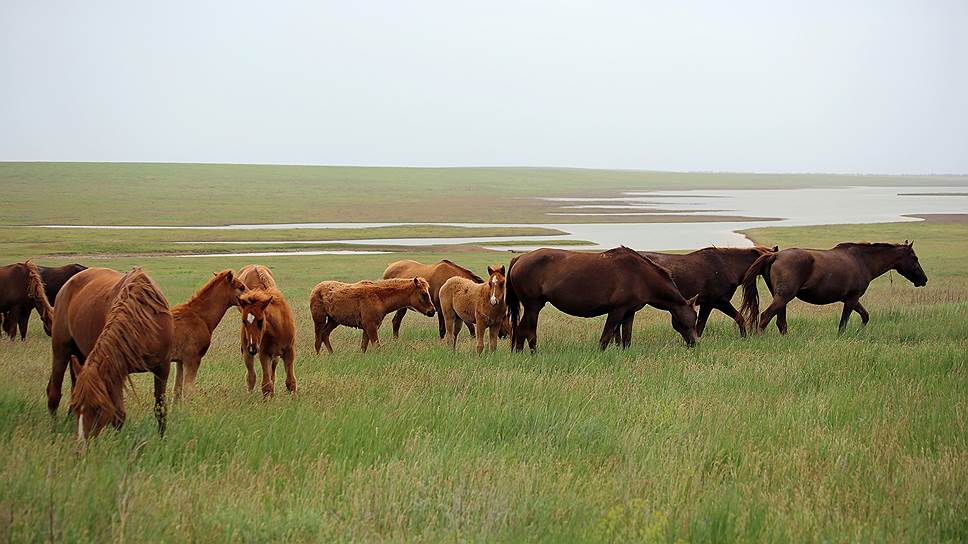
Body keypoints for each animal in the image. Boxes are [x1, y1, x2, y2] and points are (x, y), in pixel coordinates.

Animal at [46, 267, 173, 441]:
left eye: (99, 407)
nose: (83, 442)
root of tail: (68, 283)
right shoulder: (117, 370)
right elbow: (119, 415)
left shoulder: (163, 368)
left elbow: (160, 409)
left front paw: (161, 439)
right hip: (61, 351)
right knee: (54, 392)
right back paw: (54, 428)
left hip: (80, 356)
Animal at [169, 270, 248, 400]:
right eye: (241, 287)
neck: (202, 317)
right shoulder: (192, 358)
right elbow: (188, 391)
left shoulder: (180, 360)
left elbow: (177, 390)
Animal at [506, 247, 699, 351]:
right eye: (691, 319)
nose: (695, 343)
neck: (641, 275)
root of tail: (519, 258)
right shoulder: (617, 311)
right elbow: (605, 338)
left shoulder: (629, 313)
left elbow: (626, 339)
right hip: (533, 307)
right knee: (528, 332)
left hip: (531, 307)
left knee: (521, 331)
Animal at [637, 246, 777, 338]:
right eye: (773, 264)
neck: (727, 266)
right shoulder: (719, 302)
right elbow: (739, 318)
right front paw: (744, 337)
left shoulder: (707, 304)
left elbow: (700, 327)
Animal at [740, 241, 928, 335]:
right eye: (915, 258)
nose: (924, 280)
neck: (862, 260)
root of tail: (775, 255)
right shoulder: (851, 299)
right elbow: (843, 324)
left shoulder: (851, 299)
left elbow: (865, 316)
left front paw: (859, 333)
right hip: (783, 297)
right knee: (765, 317)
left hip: (781, 298)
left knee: (781, 323)